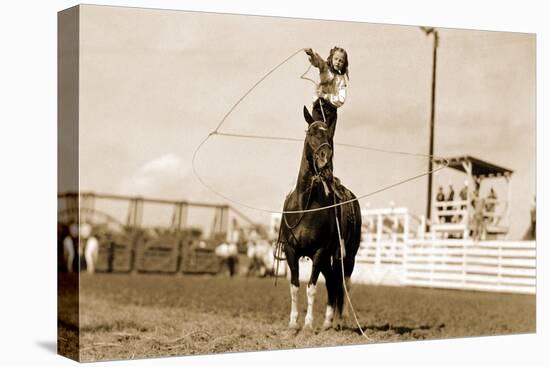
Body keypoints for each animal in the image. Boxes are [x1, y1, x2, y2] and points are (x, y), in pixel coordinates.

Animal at [280, 106, 362, 330]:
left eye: (329, 136)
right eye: (311, 132)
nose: (325, 157)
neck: (305, 205)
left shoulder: (318, 251)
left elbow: (312, 287)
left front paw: (308, 324)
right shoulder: (291, 251)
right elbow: (294, 287)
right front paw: (293, 323)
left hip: (348, 255)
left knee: (344, 282)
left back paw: (342, 319)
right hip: (328, 259)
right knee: (333, 282)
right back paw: (327, 322)